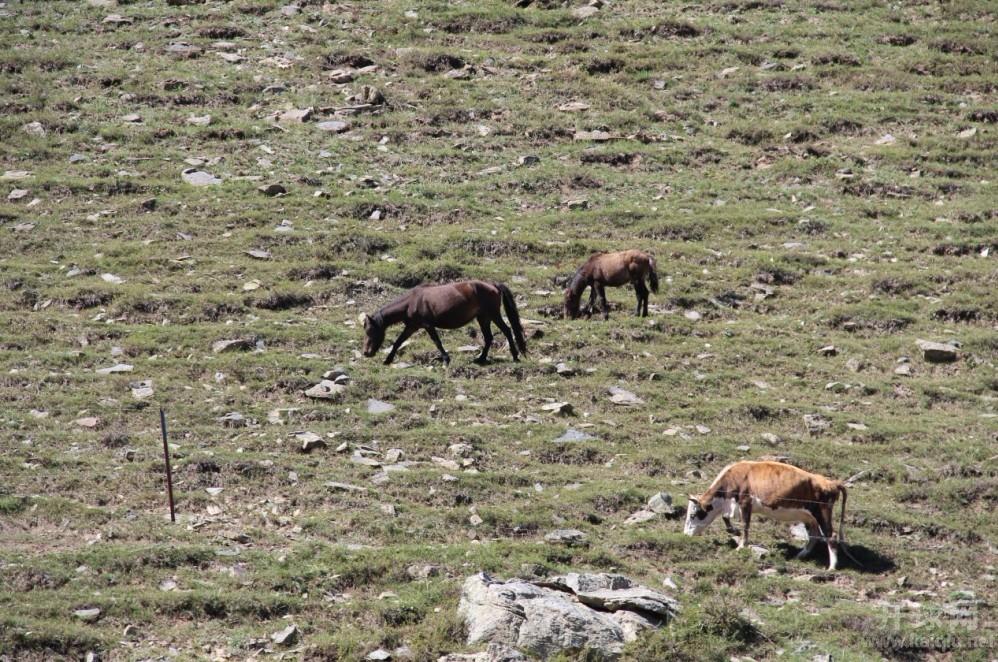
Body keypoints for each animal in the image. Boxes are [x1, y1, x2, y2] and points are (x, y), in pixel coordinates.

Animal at [361, 281, 528, 365]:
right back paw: (480, 359)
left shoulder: (427, 326)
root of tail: (494, 285)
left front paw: (446, 360)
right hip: (483, 318)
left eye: (371, 331)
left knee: (507, 330)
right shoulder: (412, 326)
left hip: (493, 315)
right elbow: (398, 342)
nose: (366, 353)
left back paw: (515, 356)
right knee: (489, 338)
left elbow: (437, 342)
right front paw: (387, 360)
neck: (411, 302)